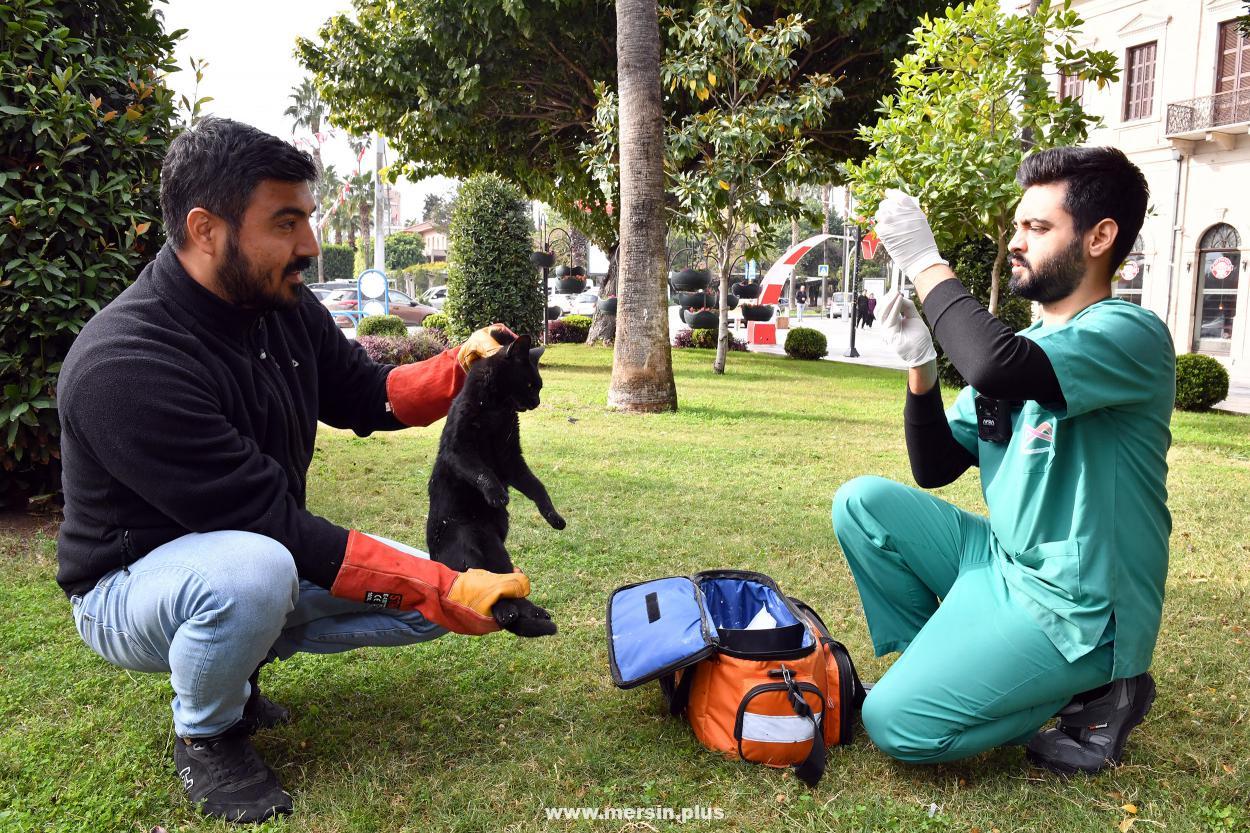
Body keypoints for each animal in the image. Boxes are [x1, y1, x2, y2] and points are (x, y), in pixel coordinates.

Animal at [430, 330, 567, 635]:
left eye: (539, 386)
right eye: (530, 384)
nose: (537, 402)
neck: (496, 411)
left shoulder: (511, 458)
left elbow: (537, 487)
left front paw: (553, 516)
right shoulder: (460, 448)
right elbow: (481, 471)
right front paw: (496, 495)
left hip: (498, 554)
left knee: (505, 588)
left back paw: (532, 613)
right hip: (466, 544)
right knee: (485, 588)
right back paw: (506, 613)